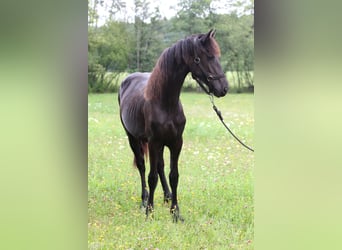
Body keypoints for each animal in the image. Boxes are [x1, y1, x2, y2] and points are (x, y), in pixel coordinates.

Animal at [119, 29, 228, 223]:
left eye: (216, 56)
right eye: (204, 57)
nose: (223, 88)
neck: (165, 103)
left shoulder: (176, 142)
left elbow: (173, 175)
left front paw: (175, 212)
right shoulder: (154, 142)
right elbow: (151, 177)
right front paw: (150, 212)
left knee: (160, 166)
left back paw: (167, 196)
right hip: (133, 138)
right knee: (142, 166)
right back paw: (144, 201)